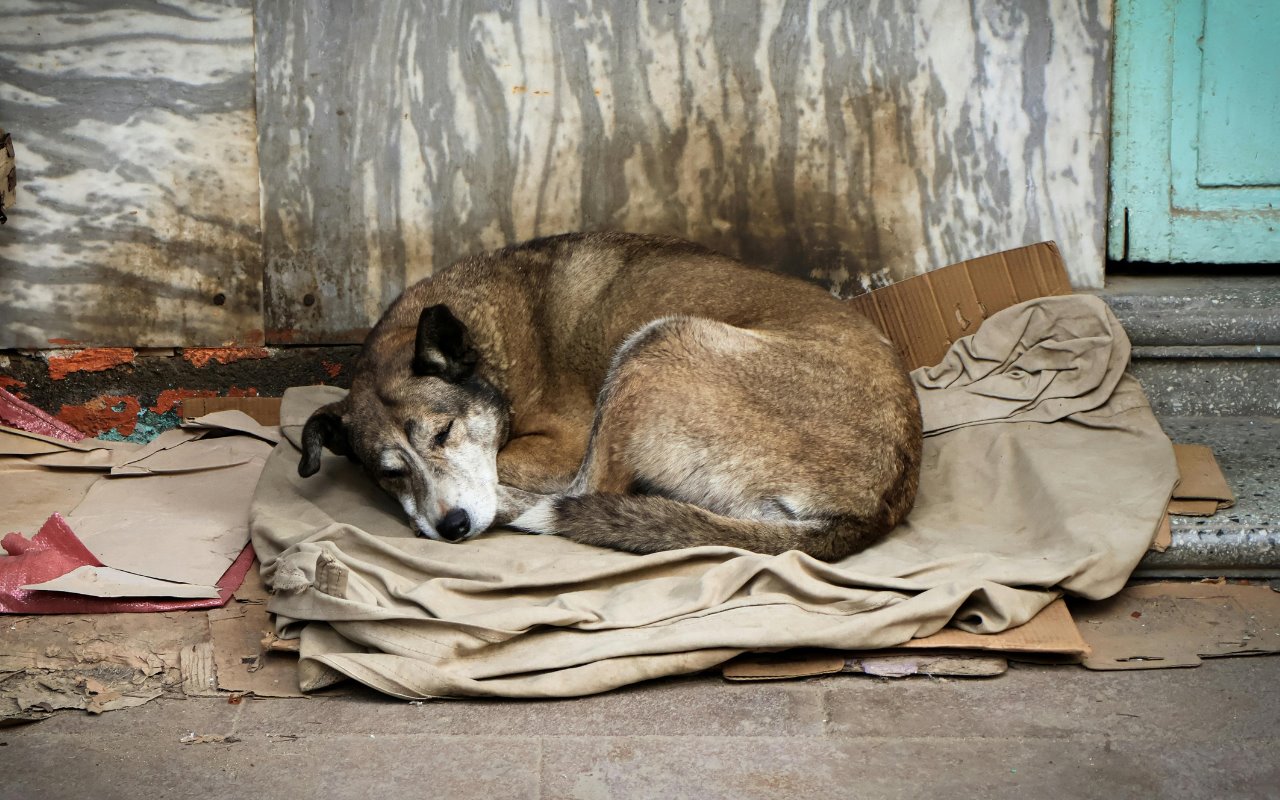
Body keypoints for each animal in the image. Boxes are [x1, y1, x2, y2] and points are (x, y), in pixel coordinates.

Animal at [299, 230, 921, 558]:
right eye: (390, 472)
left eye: (444, 432)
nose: (452, 527)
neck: (487, 343)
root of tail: (881, 504)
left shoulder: (562, 446)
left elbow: (505, 469)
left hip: (657, 345)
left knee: (586, 491)